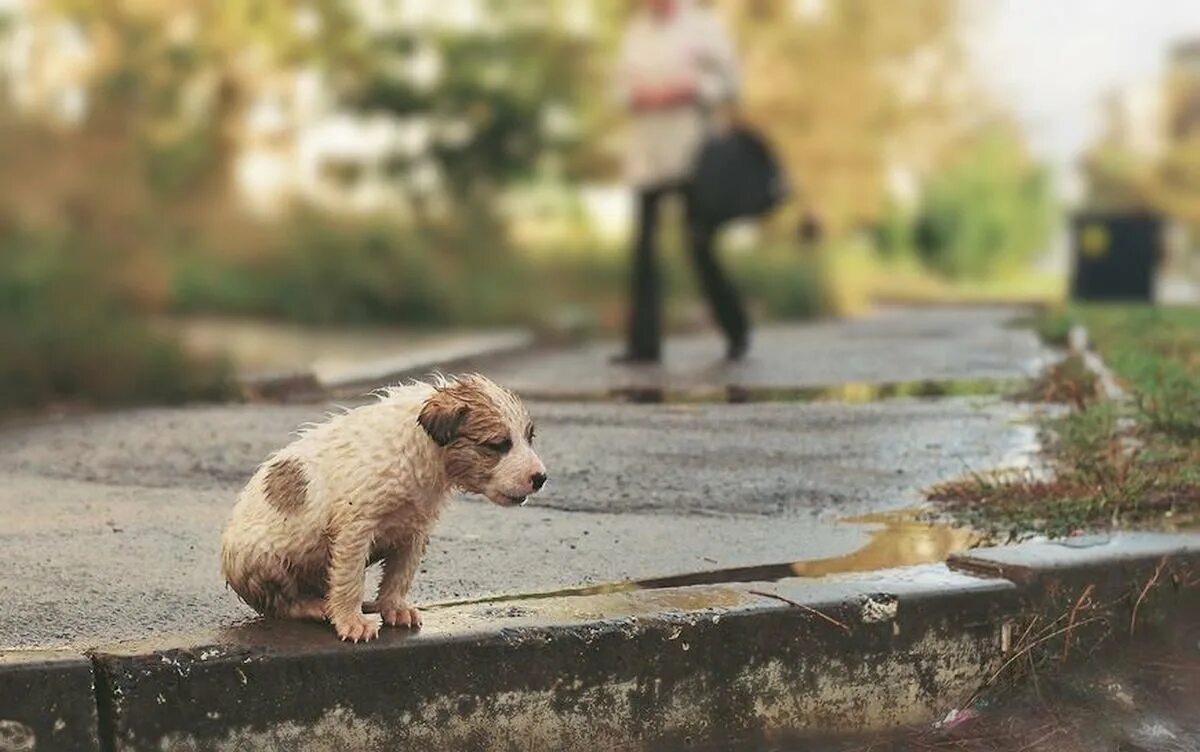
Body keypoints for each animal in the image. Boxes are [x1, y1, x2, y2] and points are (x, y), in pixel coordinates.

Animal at [222, 374, 549, 642]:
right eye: (497, 445)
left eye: (529, 438)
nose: (541, 478)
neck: (421, 451)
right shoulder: (355, 528)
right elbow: (350, 580)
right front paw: (351, 621)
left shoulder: (414, 530)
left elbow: (399, 575)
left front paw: (394, 607)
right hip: (264, 558)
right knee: (280, 602)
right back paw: (314, 606)